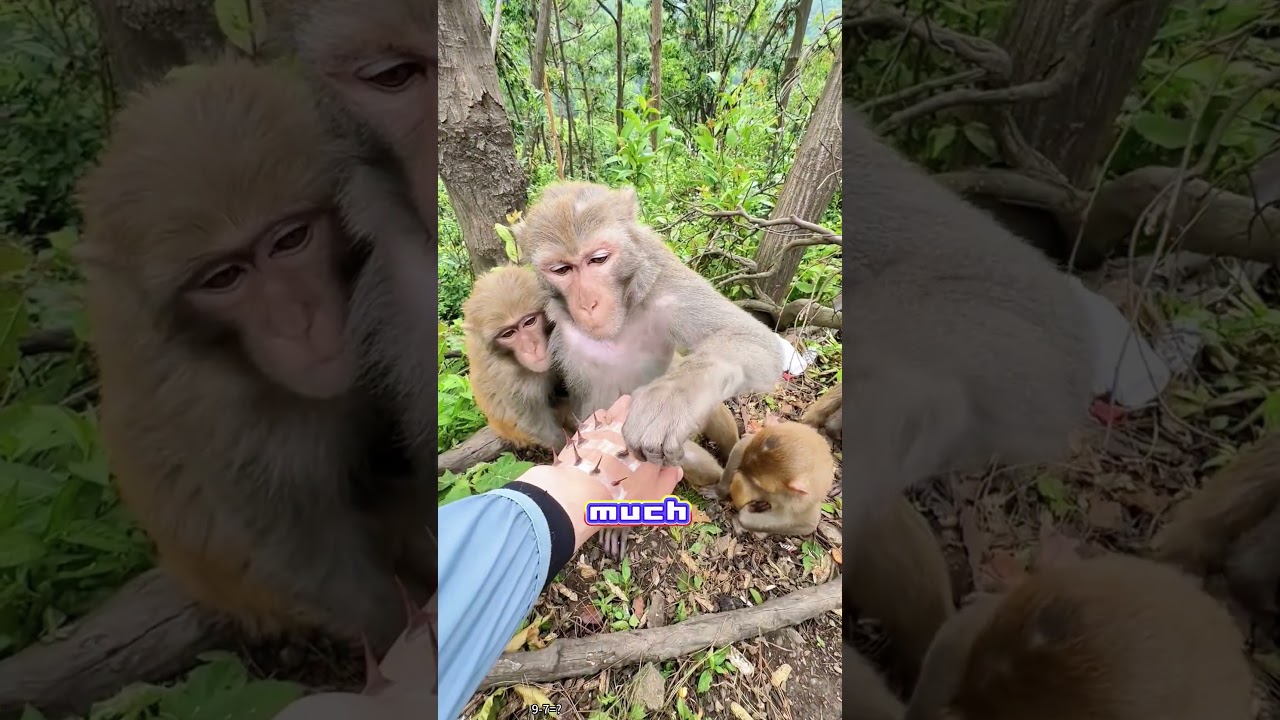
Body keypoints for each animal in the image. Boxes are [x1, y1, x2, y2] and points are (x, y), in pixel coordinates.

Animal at [511, 181, 788, 469]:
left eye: (598, 259)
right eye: (561, 269)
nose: (588, 303)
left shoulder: (664, 284)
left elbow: (749, 337)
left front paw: (669, 400)